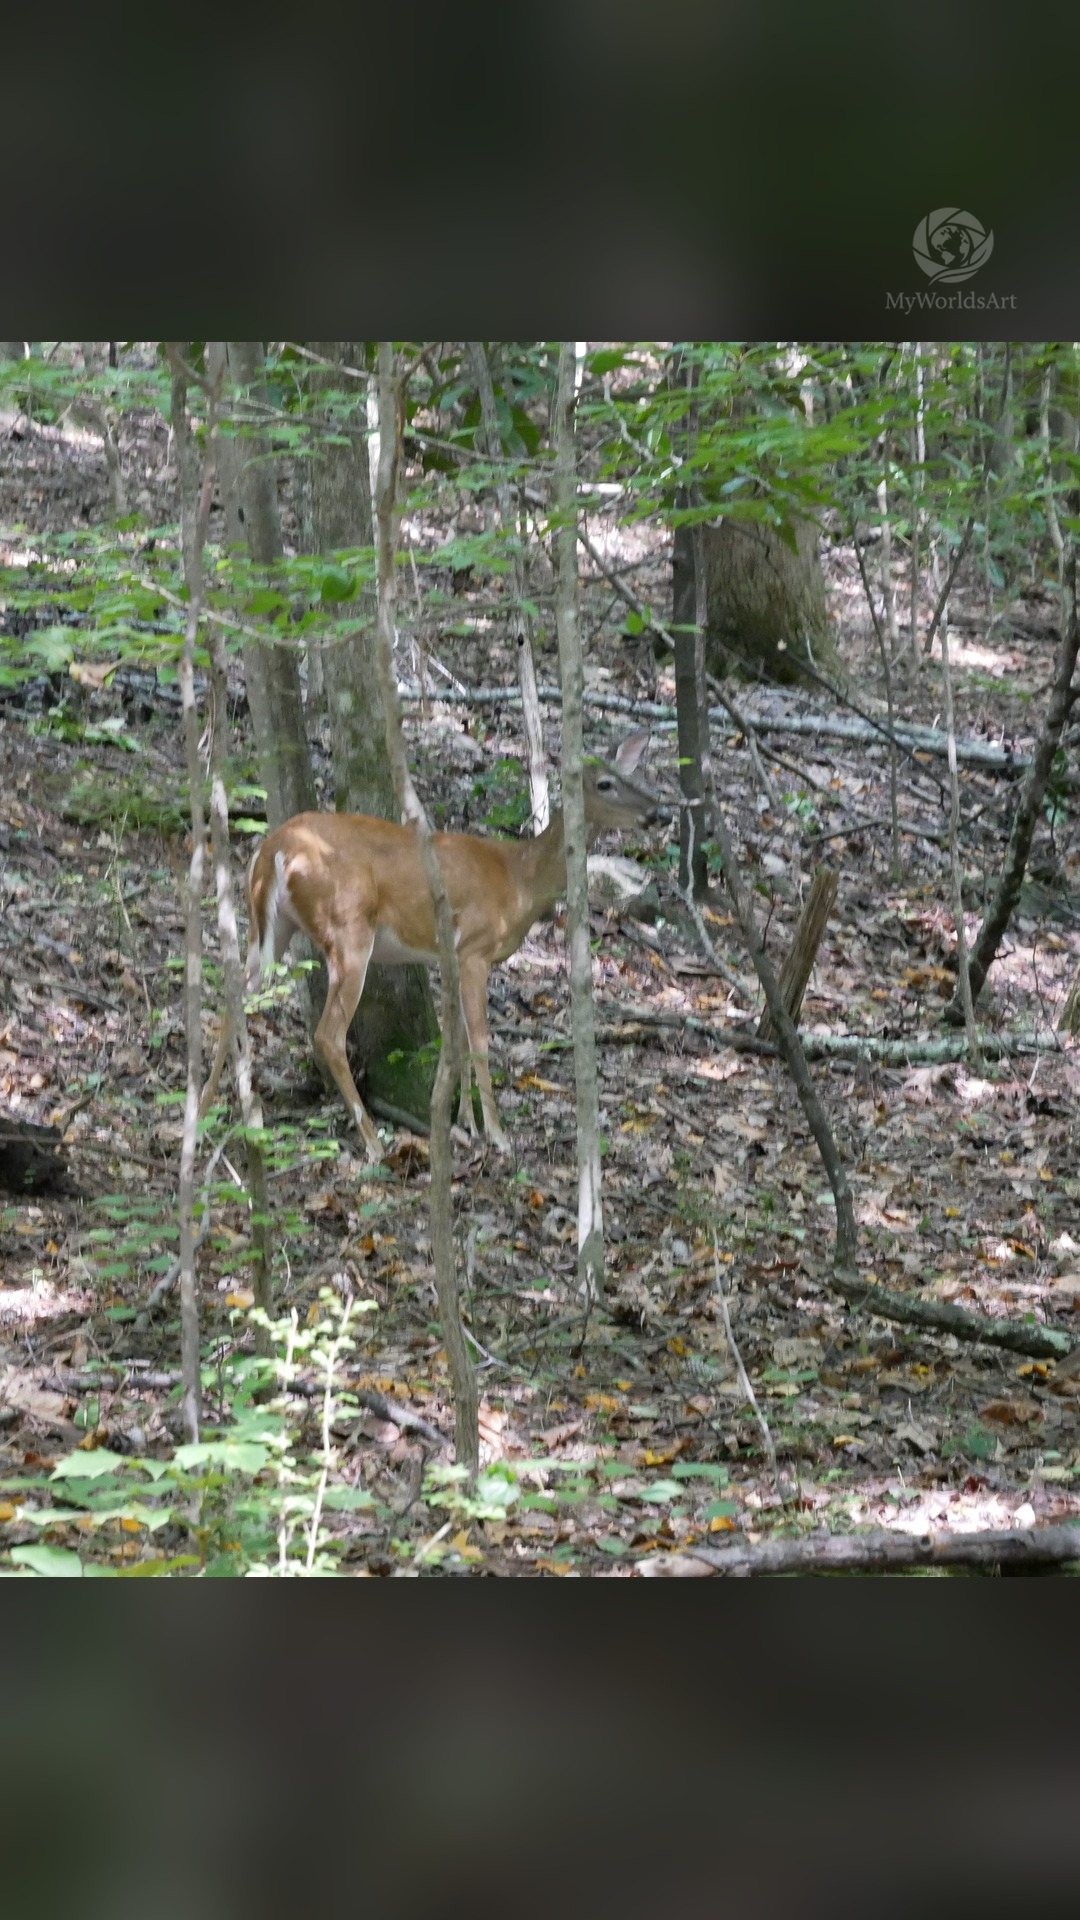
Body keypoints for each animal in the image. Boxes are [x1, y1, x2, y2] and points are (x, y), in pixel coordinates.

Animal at [201, 732, 660, 1159]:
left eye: (633, 776)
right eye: (604, 783)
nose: (657, 812)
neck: (520, 879)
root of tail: (273, 848)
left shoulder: (449, 957)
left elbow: (455, 1040)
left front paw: (465, 1122)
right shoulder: (474, 949)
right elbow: (479, 1040)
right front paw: (497, 1134)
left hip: (271, 928)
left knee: (233, 995)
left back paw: (204, 1109)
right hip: (347, 927)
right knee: (328, 1034)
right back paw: (373, 1141)